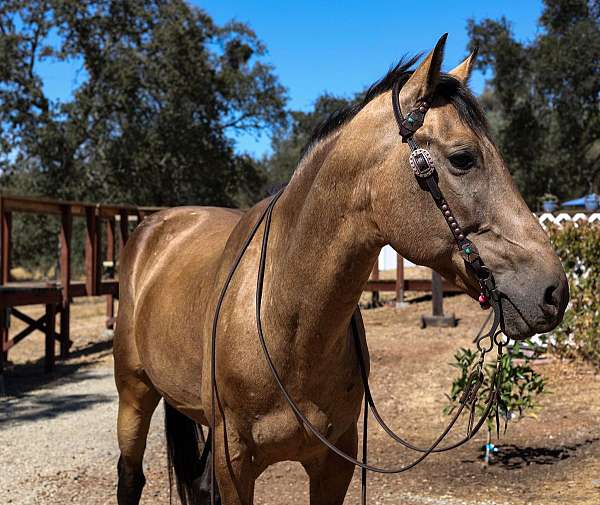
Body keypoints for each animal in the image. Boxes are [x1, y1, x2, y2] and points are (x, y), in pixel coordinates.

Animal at [111, 36, 568, 504]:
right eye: (463, 158)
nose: (554, 290)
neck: (286, 323)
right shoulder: (234, 461)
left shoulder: (335, 462)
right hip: (133, 395)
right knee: (131, 475)